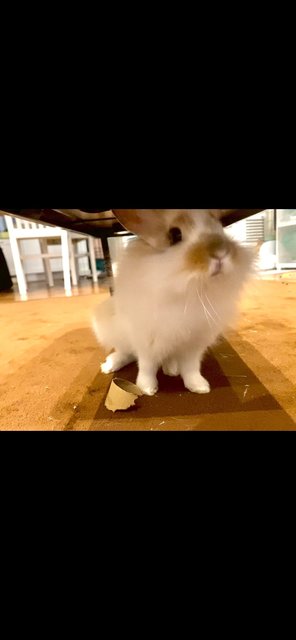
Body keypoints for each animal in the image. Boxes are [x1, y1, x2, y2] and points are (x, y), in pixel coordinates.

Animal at [92, 211, 254, 396]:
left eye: (219, 227)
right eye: (175, 235)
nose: (220, 252)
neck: (190, 290)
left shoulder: (194, 344)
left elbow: (191, 368)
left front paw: (200, 387)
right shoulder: (147, 341)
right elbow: (147, 367)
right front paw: (147, 389)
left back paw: (172, 369)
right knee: (126, 353)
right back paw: (109, 365)